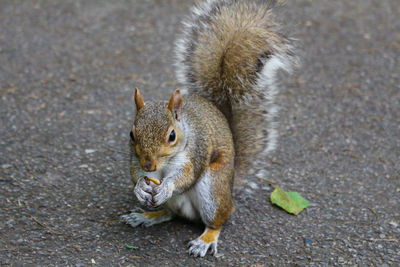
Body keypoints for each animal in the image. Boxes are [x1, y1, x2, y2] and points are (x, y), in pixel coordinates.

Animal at [122, 0, 296, 260]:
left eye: (172, 136)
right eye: (132, 134)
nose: (149, 166)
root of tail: (231, 186)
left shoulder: (196, 153)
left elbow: (185, 177)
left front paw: (167, 186)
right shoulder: (136, 159)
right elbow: (135, 175)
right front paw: (140, 188)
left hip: (213, 191)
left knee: (218, 220)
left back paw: (205, 239)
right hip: (181, 202)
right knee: (171, 214)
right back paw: (147, 215)